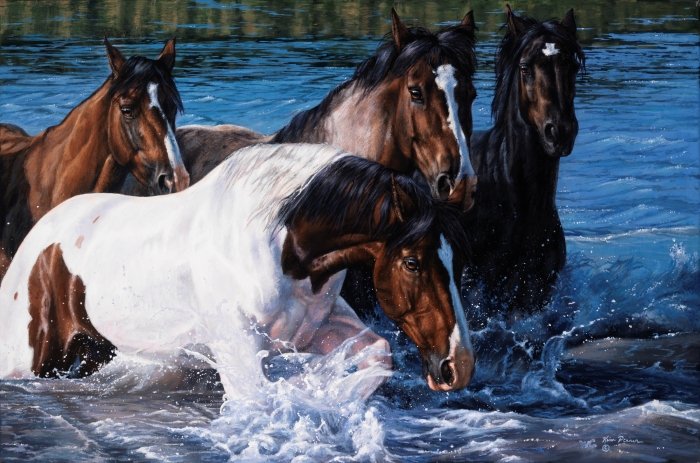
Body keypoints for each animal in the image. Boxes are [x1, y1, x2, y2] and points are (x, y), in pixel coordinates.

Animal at [0, 143, 475, 396]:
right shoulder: (240, 352)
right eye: (412, 262)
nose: (459, 367)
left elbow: (378, 355)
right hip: (27, 362)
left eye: (458, 260)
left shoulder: (314, 330)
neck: (279, 243)